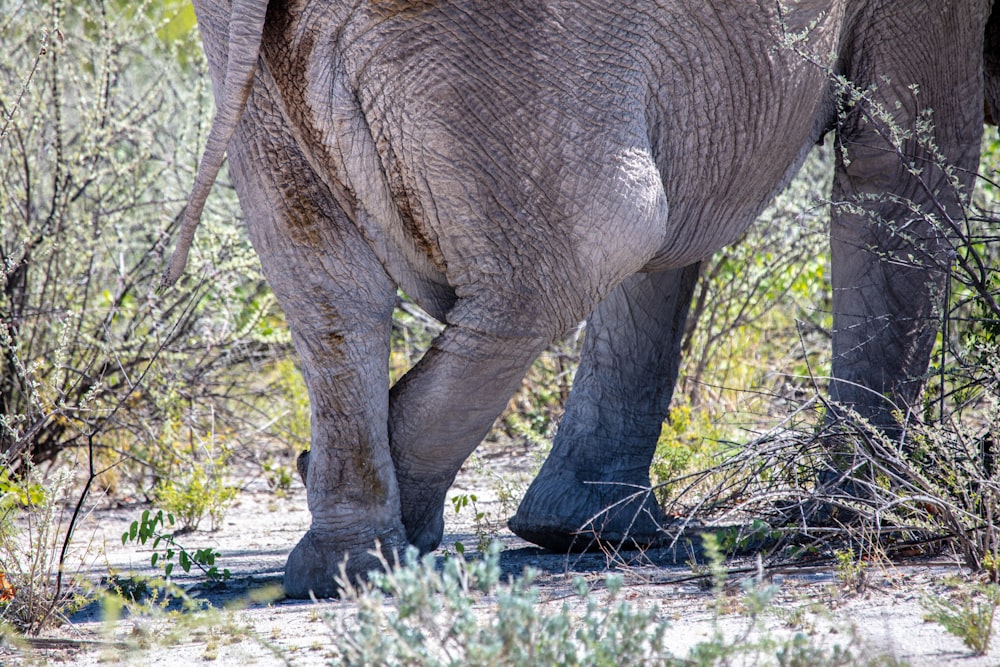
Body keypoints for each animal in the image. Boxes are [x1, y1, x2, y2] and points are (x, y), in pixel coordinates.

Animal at [164, 0, 1000, 596]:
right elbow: (902, 162)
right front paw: (878, 518)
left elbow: (685, 221)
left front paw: (590, 533)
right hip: (499, 44)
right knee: (594, 242)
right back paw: (383, 544)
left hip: (265, 76)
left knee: (329, 289)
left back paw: (345, 559)